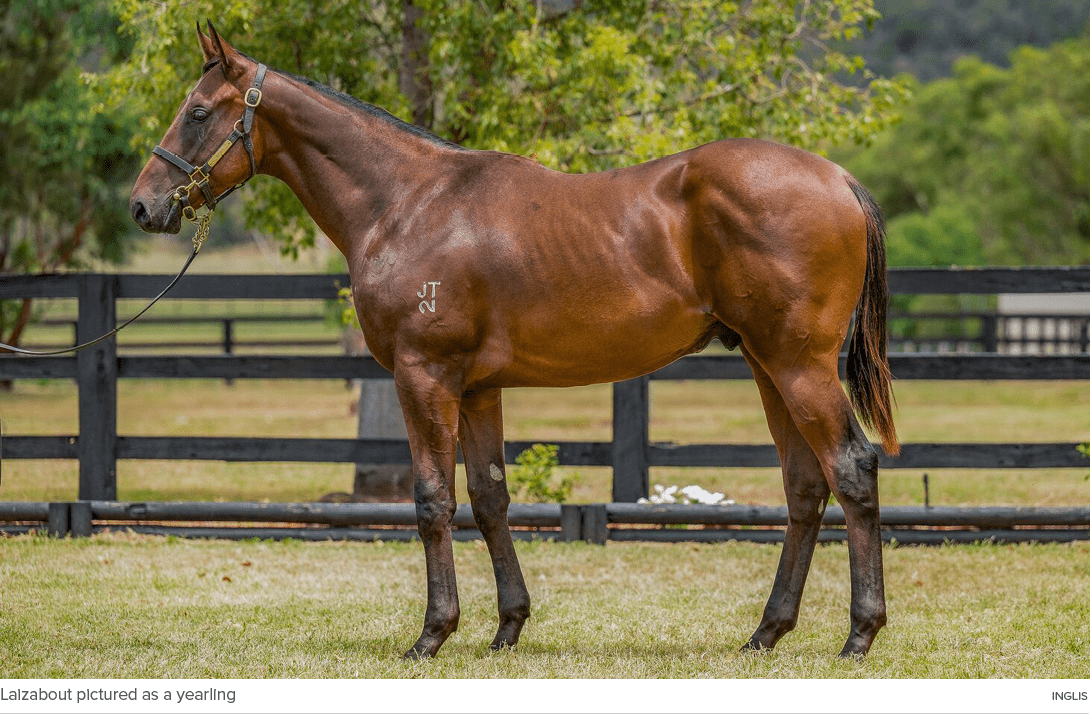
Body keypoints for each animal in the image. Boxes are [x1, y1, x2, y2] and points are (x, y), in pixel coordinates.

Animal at [127, 23, 898, 658]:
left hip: (799, 367)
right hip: (768, 366)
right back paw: (766, 633)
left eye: (198, 112)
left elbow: (432, 501)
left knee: (852, 469)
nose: (143, 205)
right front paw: (507, 627)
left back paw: (859, 635)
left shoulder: (424, 375)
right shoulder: (476, 389)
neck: (407, 202)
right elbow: (490, 499)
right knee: (806, 486)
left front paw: (433, 634)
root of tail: (838, 178)